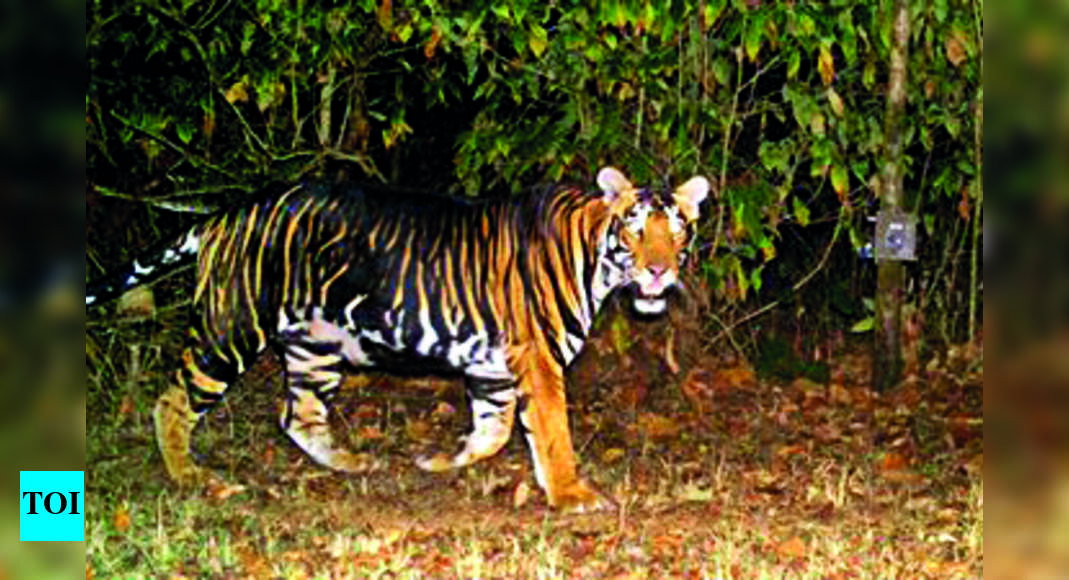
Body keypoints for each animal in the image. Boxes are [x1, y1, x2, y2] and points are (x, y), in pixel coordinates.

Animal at [86, 167, 709, 512]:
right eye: (637, 229)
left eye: (678, 229)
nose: (660, 271)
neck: (596, 258)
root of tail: (225, 212)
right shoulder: (537, 359)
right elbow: (551, 432)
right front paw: (572, 495)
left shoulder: (491, 367)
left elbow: (493, 429)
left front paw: (440, 460)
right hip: (231, 329)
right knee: (172, 401)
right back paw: (192, 477)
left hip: (315, 344)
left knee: (298, 415)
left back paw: (350, 463)